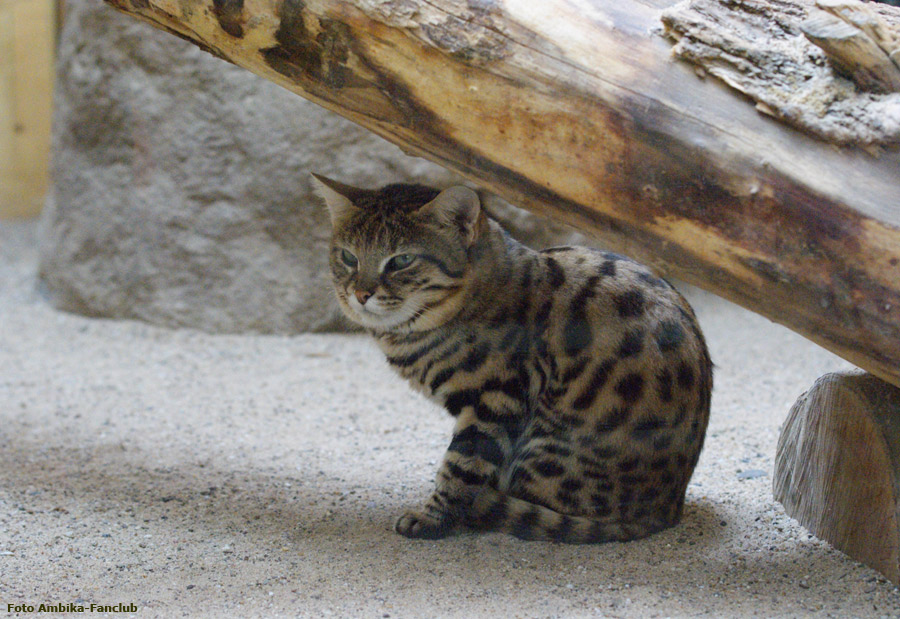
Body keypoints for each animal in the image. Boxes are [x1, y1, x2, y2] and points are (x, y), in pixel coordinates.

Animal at [312, 174, 712, 544]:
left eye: (402, 261)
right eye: (348, 257)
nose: (360, 294)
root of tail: (667, 508)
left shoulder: (495, 399)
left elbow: (460, 466)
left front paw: (433, 518)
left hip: (548, 448)